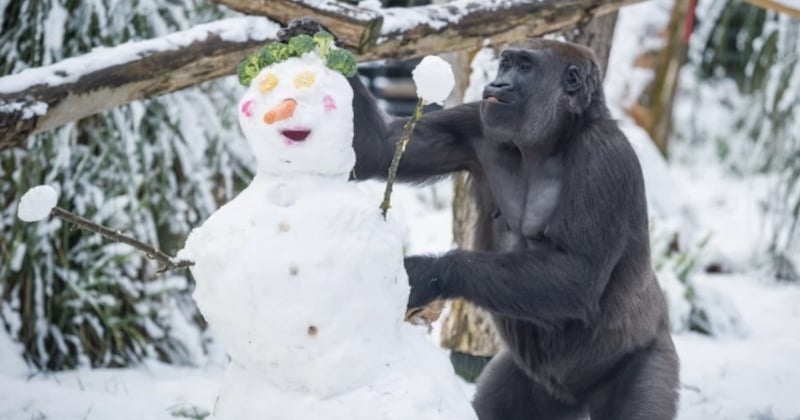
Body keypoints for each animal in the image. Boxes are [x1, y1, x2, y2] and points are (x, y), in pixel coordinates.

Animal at [278, 19, 680, 420]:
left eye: (525, 68)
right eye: (506, 64)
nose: (498, 83)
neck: (555, 137)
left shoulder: (604, 161)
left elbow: (579, 273)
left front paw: (430, 272)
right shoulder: (474, 122)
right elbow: (380, 146)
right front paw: (314, 38)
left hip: (645, 359)